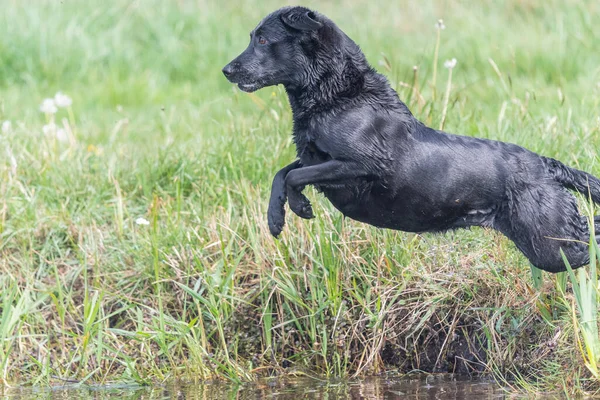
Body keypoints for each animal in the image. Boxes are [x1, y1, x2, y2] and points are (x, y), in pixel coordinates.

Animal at [224, 6, 600, 274]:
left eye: (262, 40)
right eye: (252, 37)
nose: (226, 70)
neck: (339, 95)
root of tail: (546, 165)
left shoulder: (361, 165)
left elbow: (295, 175)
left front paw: (300, 206)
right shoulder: (315, 156)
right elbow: (283, 173)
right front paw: (275, 219)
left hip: (549, 243)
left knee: (586, 239)